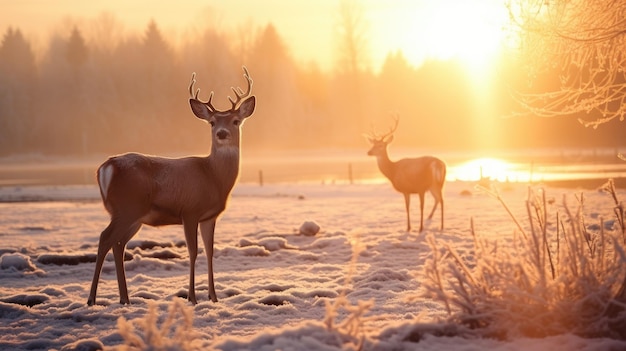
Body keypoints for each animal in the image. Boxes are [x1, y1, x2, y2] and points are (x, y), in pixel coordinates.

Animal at [86, 67, 255, 306]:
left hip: (133, 216)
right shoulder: (190, 210)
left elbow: (210, 251)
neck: (213, 177)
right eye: (212, 122)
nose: (222, 133)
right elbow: (193, 251)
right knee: (105, 238)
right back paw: (92, 299)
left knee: (118, 243)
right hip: (127, 207)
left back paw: (125, 298)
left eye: (236, 121)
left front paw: (213, 297)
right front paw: (192, 297)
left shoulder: (209, 216)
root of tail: (106, 167)